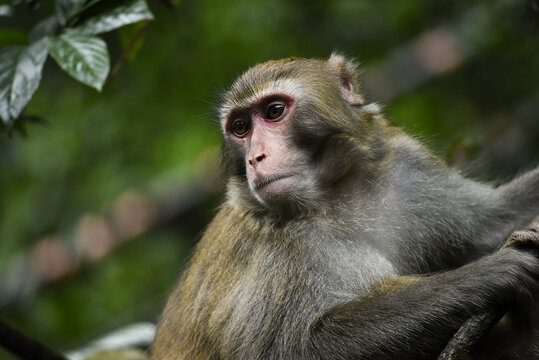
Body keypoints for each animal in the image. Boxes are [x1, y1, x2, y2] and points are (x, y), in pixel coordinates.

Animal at [151, 54, 539, 360]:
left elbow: (492, 222)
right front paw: (495, 272)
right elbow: (295, 347)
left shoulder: (407, 167)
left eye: (274, 111)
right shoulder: (279, 249)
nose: (255, 158)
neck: (336, 196)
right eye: (241, 127)